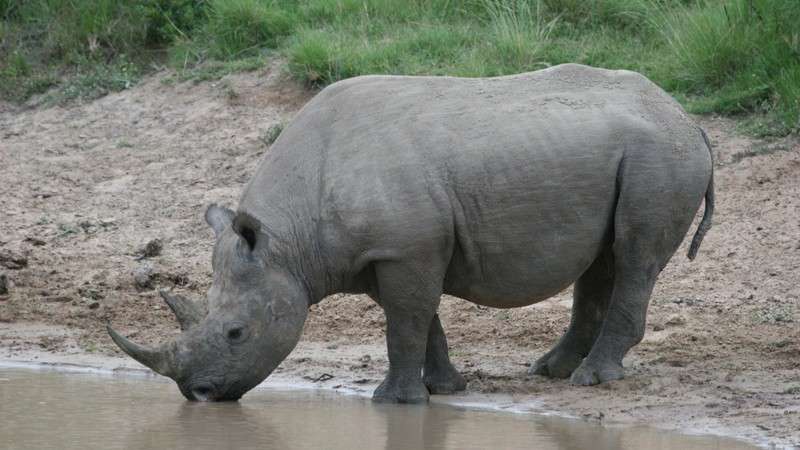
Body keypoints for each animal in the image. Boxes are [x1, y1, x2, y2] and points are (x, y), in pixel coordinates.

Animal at [108, 64, 714, 403]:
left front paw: (393, 402)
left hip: (660, 156)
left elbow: (405, 323)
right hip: (635, 152)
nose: (198, 395)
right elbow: (421, 320)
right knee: (602, 259)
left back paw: (591, 380)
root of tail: (686, 117)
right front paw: (443, 389)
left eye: (236, 333)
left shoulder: (404, 247)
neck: (288, 243)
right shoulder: (388, 252)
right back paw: (552, 371)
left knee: (635, 255)